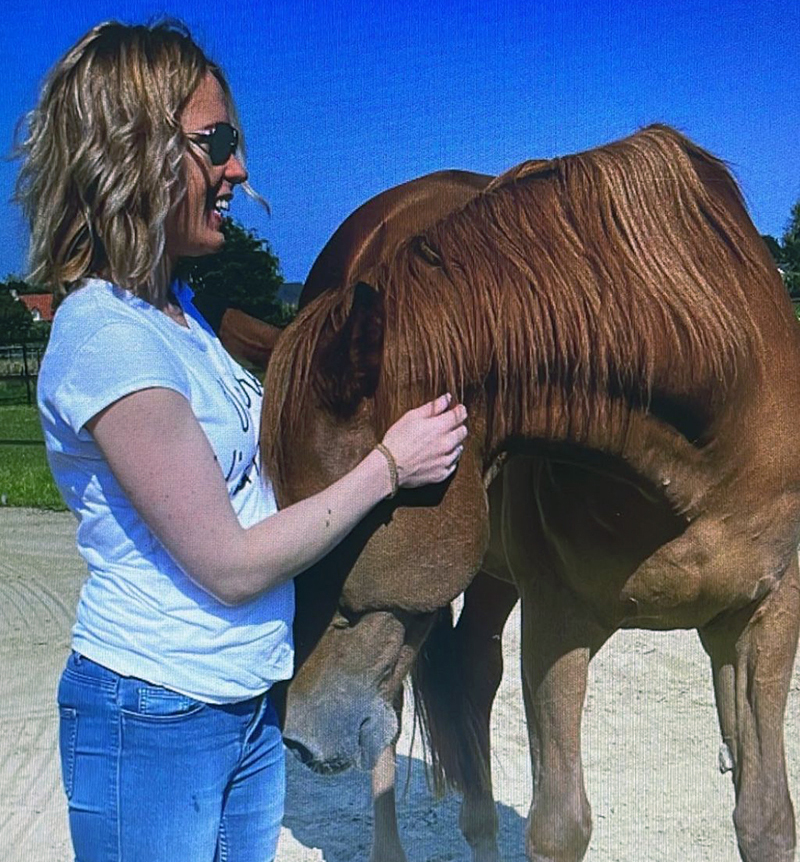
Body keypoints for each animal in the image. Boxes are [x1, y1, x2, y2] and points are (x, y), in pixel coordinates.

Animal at [262, 125, 800, 862]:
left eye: (339, 516)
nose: (297, 731)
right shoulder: (557, 623)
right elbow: (560, 825)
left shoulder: (763, 618)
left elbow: (764, 816)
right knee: (395, 717)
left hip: (488, 583)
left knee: (470, 671)